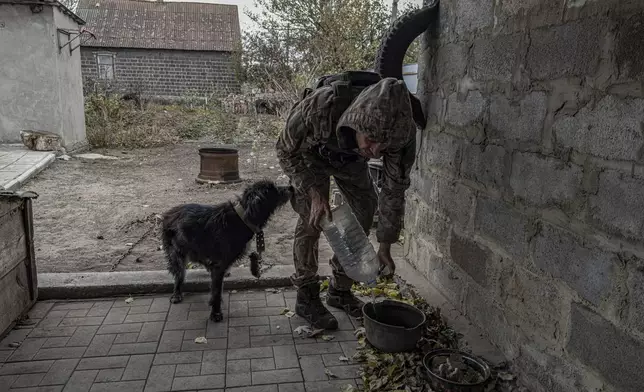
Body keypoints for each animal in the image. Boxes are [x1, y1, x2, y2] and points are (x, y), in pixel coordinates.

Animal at [162, 181, 294, 322]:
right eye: (273, 189)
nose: (291, 187)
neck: (242, 217)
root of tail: (168, 214)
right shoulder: (219, 266)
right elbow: (216, 291)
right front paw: (215, 313)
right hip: (176, 252)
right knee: (179, 274)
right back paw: (177, 293)